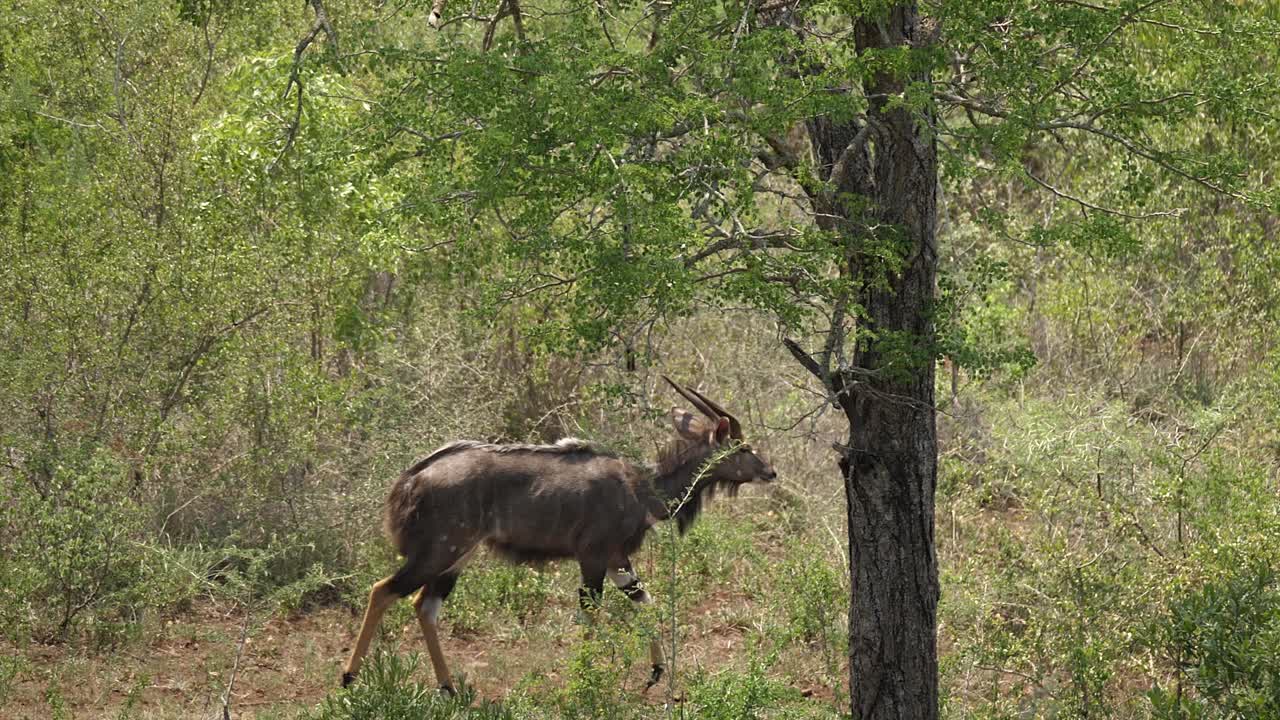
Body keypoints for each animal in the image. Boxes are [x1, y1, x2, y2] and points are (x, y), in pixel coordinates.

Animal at [341, 377, 776, 694]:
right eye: (742, 447)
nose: (770, 472)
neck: (642, 487)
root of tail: (411, 479)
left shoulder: (617, 559)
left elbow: (644, 600)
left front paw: (655, 671)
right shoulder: (593, 556)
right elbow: (591, 615)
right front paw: (587, 680)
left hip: (456, 556)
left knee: (423, 605)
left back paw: (449, 688)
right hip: (440, 551)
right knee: (383, 590)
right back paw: (349, 677)